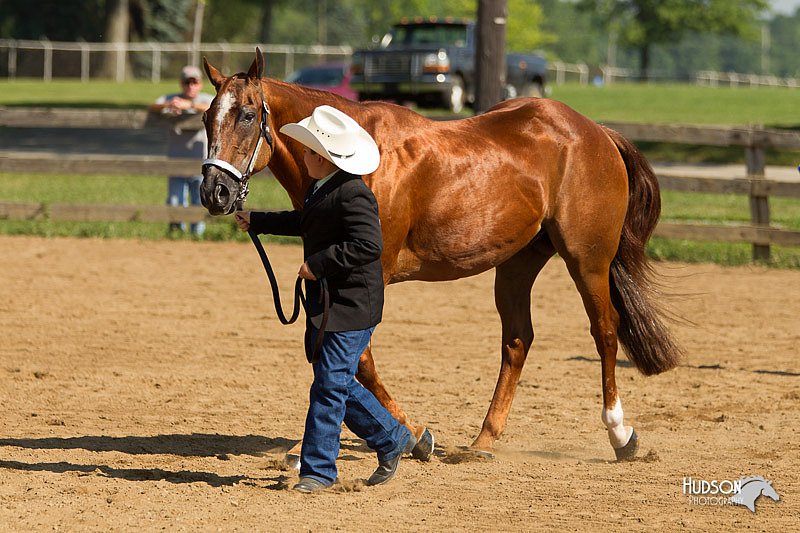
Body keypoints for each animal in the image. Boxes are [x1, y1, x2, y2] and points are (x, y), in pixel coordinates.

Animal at [198, 52, 680, 464]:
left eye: (246, 115)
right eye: (206, 117)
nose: (214, 192)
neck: (352, 159)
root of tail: (596, 132)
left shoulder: (369, 273)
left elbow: (360, 360)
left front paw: (413, 436)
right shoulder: (327, 277)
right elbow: (335, 356)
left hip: (588, 259)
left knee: (605, 331)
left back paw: (620, 434)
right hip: (518, 262)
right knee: (518, 340)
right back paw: (483, 440)